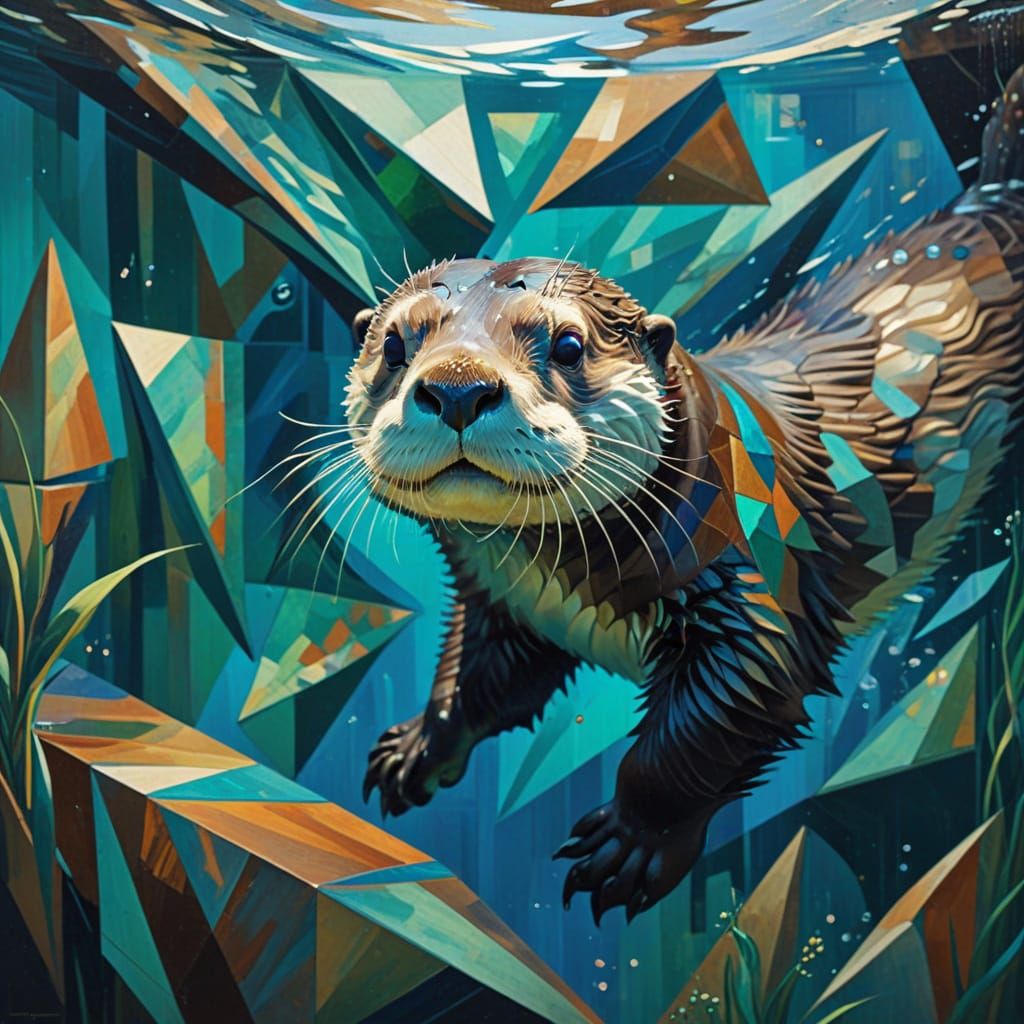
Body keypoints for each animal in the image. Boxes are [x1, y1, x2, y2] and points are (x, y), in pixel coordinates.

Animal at [343, 72, 1024, 924]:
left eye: (567, 344)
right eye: (395, 344)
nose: (459, 386)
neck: (572, 580)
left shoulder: (756, 584)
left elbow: (704, 728)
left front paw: (630, 844)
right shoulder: (509, 604)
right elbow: (476, 677)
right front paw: (415, 749)